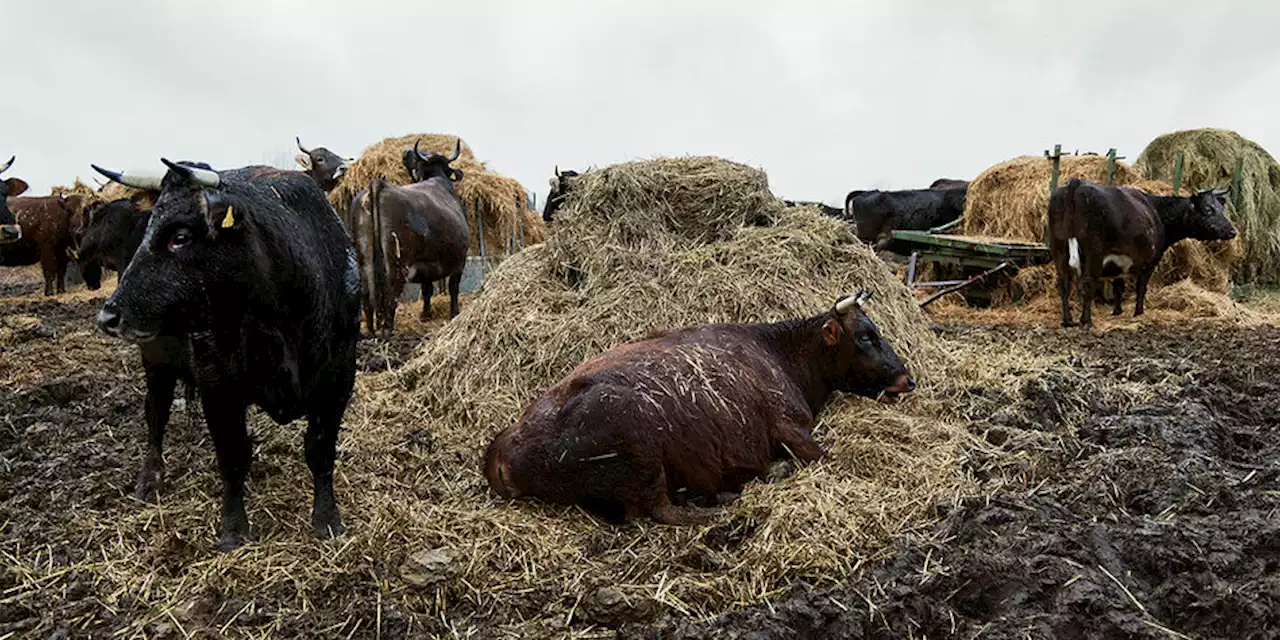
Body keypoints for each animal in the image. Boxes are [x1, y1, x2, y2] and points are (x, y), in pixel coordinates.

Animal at [91, 156, 360, 550]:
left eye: (180, 237)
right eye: (149, 228)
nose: (108, 315)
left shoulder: (339, 374)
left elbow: (320, 449)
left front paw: (327, 519)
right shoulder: (218, 384)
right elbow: (232, 455)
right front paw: (234, 529)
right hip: (156, 361)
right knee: (155, 416)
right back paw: (150, 479)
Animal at [483, 293, 916, 527]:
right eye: (865, 337)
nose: (907, 379)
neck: (779, 354)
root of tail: (504, 448)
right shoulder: (789, 426)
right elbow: (826, 456)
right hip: (641, 448)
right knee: (660, 512)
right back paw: (723, 500)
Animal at [1049, 177, 1239, 327]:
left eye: (1220, 208)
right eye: (1208, 209)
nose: (1231, 231)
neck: (1156, 210)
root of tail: (1076, 183)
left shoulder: (1118, 261)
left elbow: (1119, 286)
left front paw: (1117, 311)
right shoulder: (1150, 261)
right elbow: (1141, 287)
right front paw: (1138, 312)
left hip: (1059, 249)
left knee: (1063, 284)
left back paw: (1067, 320)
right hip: (1093, 253)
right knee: (1088, 283)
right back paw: (1085, 321)